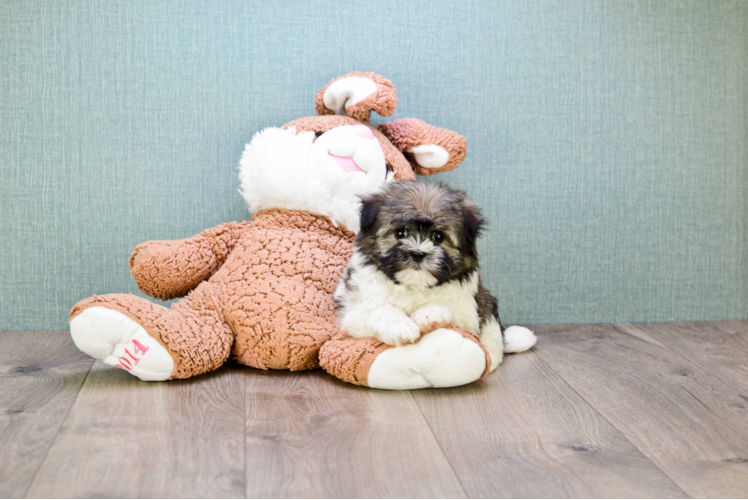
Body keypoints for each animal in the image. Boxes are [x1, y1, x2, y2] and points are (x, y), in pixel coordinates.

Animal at [334, 180, 536, 372]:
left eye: (438, 236)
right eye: (400, 233)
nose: (418, 253)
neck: (414, 285)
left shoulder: (468, 315)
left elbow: (450, 309)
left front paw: (429, 315)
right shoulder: (354, 311)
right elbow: (380, 310)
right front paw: (400, 326)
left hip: (488, 304)